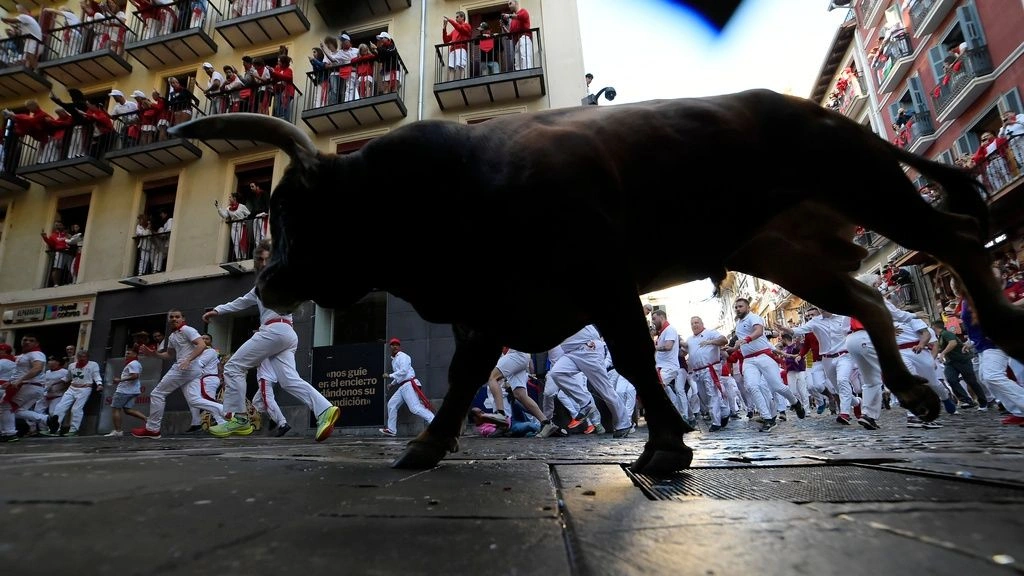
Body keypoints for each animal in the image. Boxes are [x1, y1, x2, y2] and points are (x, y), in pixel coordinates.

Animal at [169, 89, 1024, 473]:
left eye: (293, 209)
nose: (271, 283)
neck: (450, 190)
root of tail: (806, 106)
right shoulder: (496, 310)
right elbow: (464, 378)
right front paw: (430, 446)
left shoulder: (602, 282)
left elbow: (638, 361)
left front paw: (665, 446)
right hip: (790, 251)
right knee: (870, 296)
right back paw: (912, 390)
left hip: (867, 186)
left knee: (952, 238)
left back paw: (999, 333)